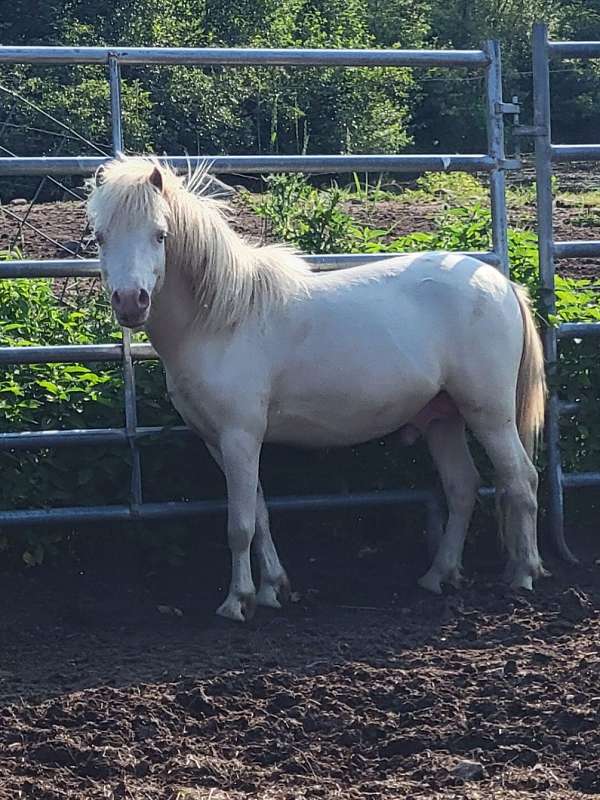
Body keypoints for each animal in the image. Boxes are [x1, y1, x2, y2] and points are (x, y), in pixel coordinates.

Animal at [86, 156, 548, 620]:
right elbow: (260, 513)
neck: (220, 320)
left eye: (160, 234)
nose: (131, 301)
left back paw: (523, 574)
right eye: (100, 236)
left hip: (489, 415)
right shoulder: (218, 442)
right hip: (443, 418)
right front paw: (273, 588)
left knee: (521, 479)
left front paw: (238, 600)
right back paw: (438, 575)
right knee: (462, 487)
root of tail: (501, 283)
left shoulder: (240, 437)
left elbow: (240, 525)